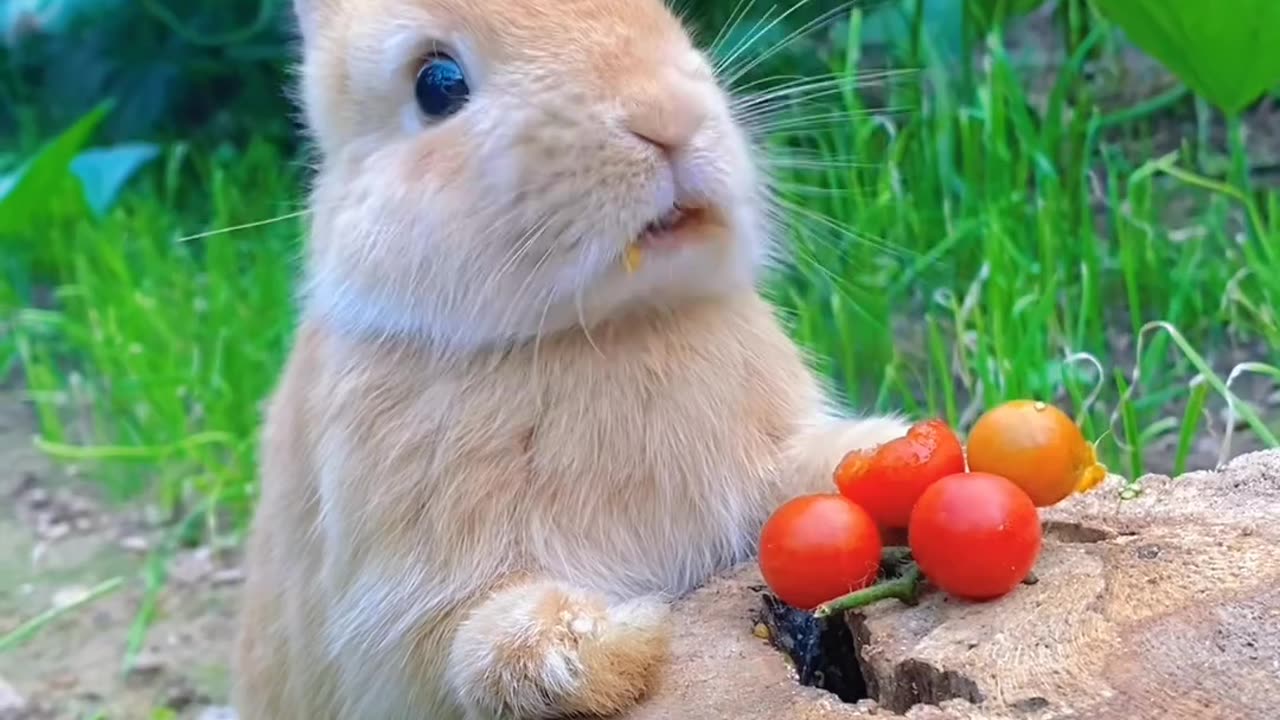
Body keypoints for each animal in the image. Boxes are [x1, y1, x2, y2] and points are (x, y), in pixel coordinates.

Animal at [230, 1, 911, 717]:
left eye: (662, 18)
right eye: (437, 85)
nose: (666, 117)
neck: (612, 327)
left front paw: (896, 448)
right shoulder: (401, 610)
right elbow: (476, 649)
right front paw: (608, 646)